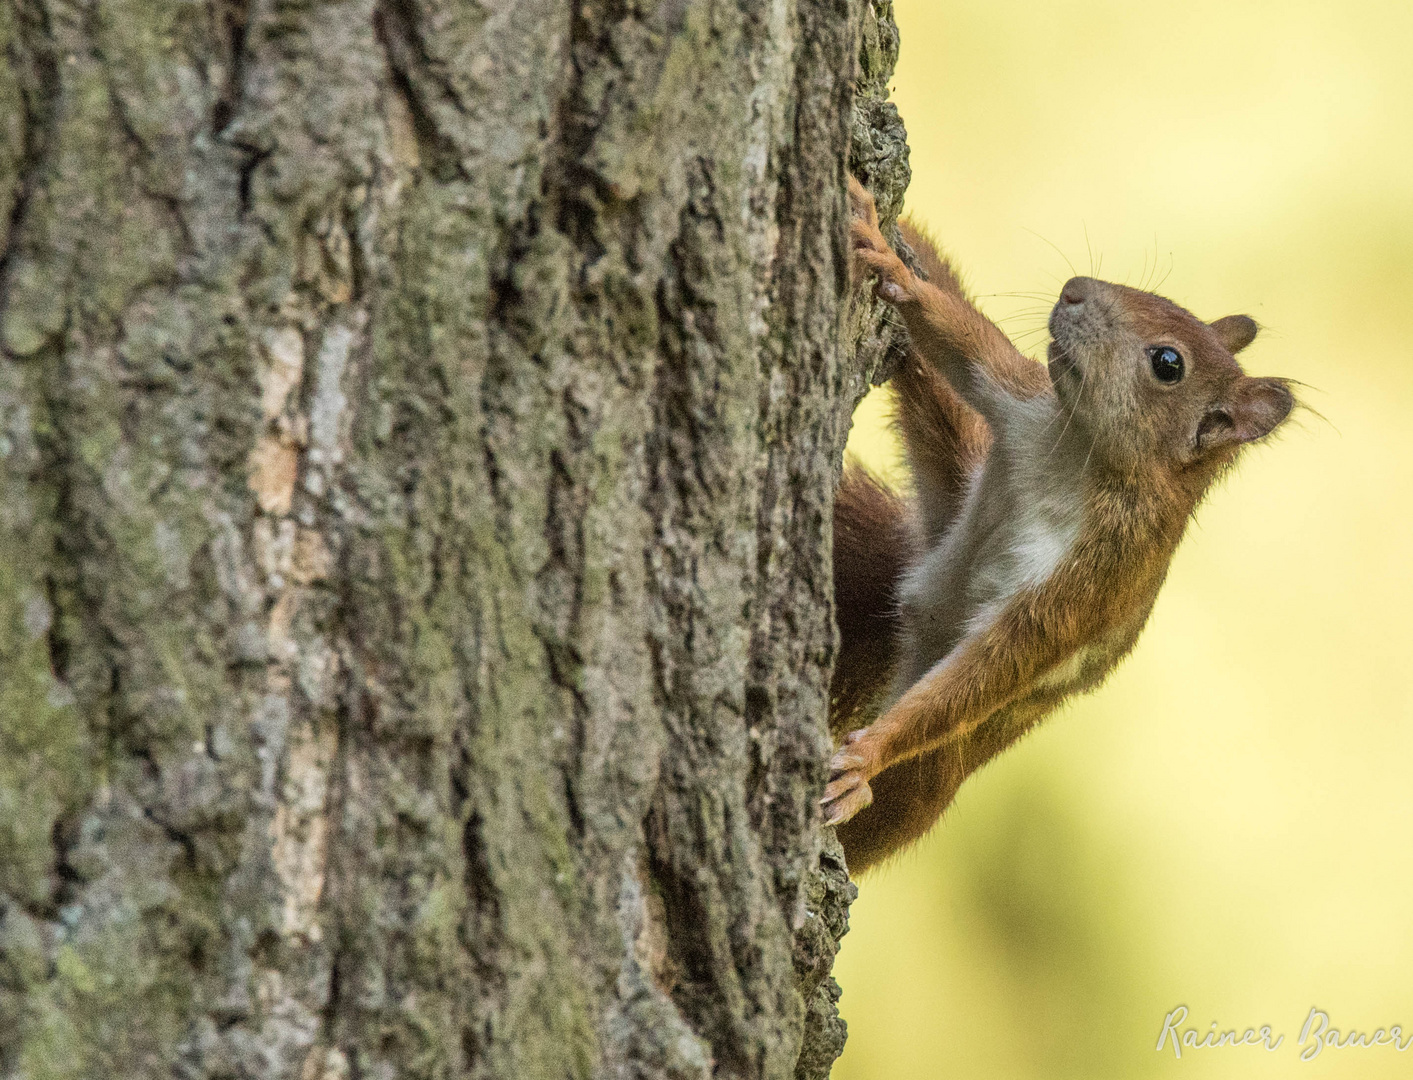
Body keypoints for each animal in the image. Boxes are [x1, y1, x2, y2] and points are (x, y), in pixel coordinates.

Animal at [825, 173, 1294, 870]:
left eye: (1168, 363)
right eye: (1159, 297)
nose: (1074, 289)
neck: (1077, 454)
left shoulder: (1095, 575)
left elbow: (999, 662)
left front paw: (867, 754)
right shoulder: (1020, 401)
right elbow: (962, 345)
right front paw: (889, 259)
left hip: (925, 783)